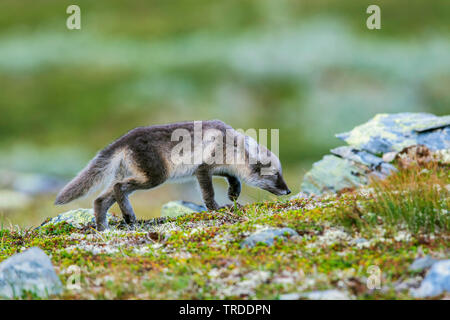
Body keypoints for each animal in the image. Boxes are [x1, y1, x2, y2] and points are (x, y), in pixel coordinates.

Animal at [54, 120, 290, 230]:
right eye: (276, 174)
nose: (288, 191)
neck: (234, 146)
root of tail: (123, 140)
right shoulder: (202, 169)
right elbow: (208, 193)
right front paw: (216, 208)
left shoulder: (221, 167)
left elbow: (233, 177)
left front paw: (233, 193)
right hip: (154, 177)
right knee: (119, 188)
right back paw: (129, 216)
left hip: (132, 175)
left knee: (100, 199)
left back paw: (103, 227)